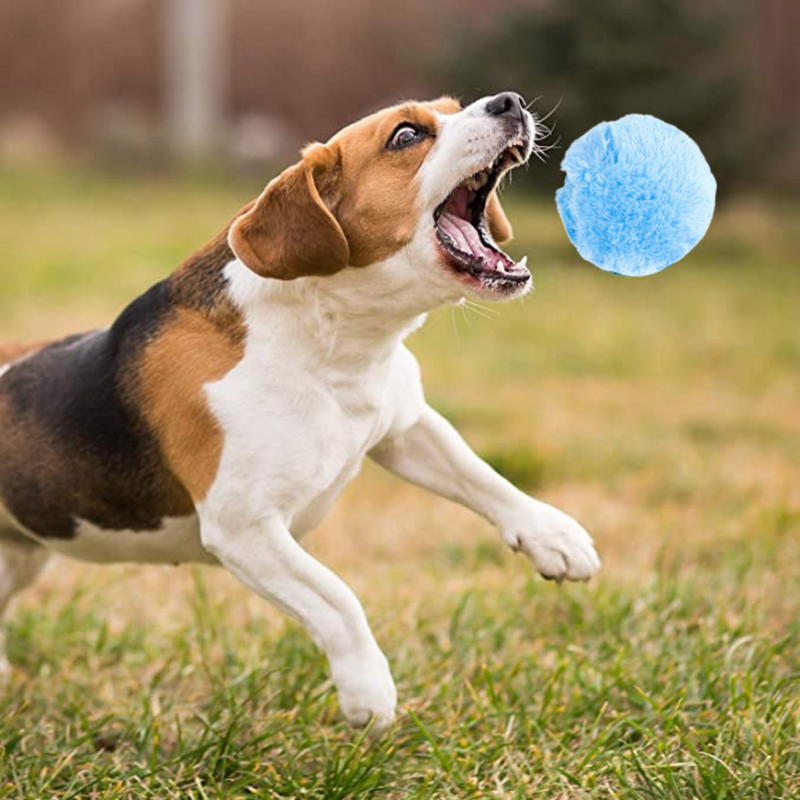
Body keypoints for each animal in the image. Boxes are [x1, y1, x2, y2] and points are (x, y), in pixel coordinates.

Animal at [0, 92, 600, 736]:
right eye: (406, 135)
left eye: (453, 107)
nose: (508, 102)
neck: (334, 343)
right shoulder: (245, 529)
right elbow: (337, 598)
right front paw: (368, 691)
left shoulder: (405, 426)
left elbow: (484, 478)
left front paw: (553, 536)